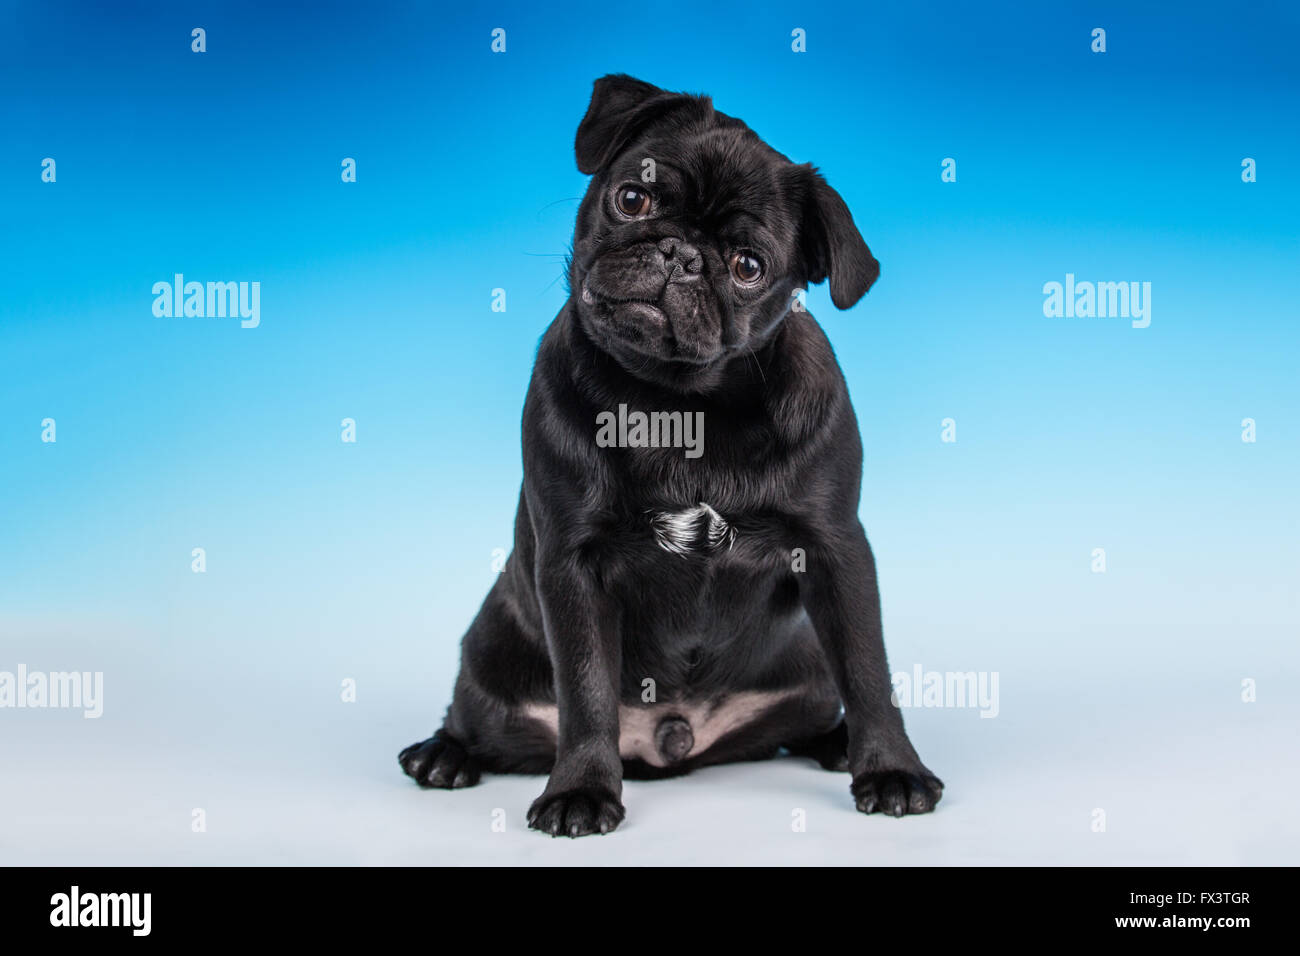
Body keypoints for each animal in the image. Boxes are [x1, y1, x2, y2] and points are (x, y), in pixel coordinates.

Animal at [397, 76, 946, 837]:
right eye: (633, 199)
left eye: (748, 267)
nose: (681, 254)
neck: (681, 406)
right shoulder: (574, 565)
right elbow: (587, 688)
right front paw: (581, 788)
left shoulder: (835, 548)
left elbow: (868, 668)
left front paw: (892, 768)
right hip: (488, 662)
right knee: (477, 716)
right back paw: (442, 754)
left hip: (805, 675)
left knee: (817, 708)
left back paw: (837, 743)